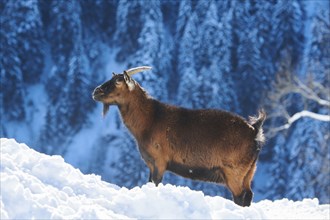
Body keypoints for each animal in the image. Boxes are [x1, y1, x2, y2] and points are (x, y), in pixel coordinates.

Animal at [92, 66, 266, 206]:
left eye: (118, 81)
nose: (96, 91)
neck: (150, 119)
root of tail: (254, 130)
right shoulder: (151, 163)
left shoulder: (159, 161)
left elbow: (155, 183)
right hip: (249, 172)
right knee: (248, 195)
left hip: (234, 172)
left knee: (241, 197)